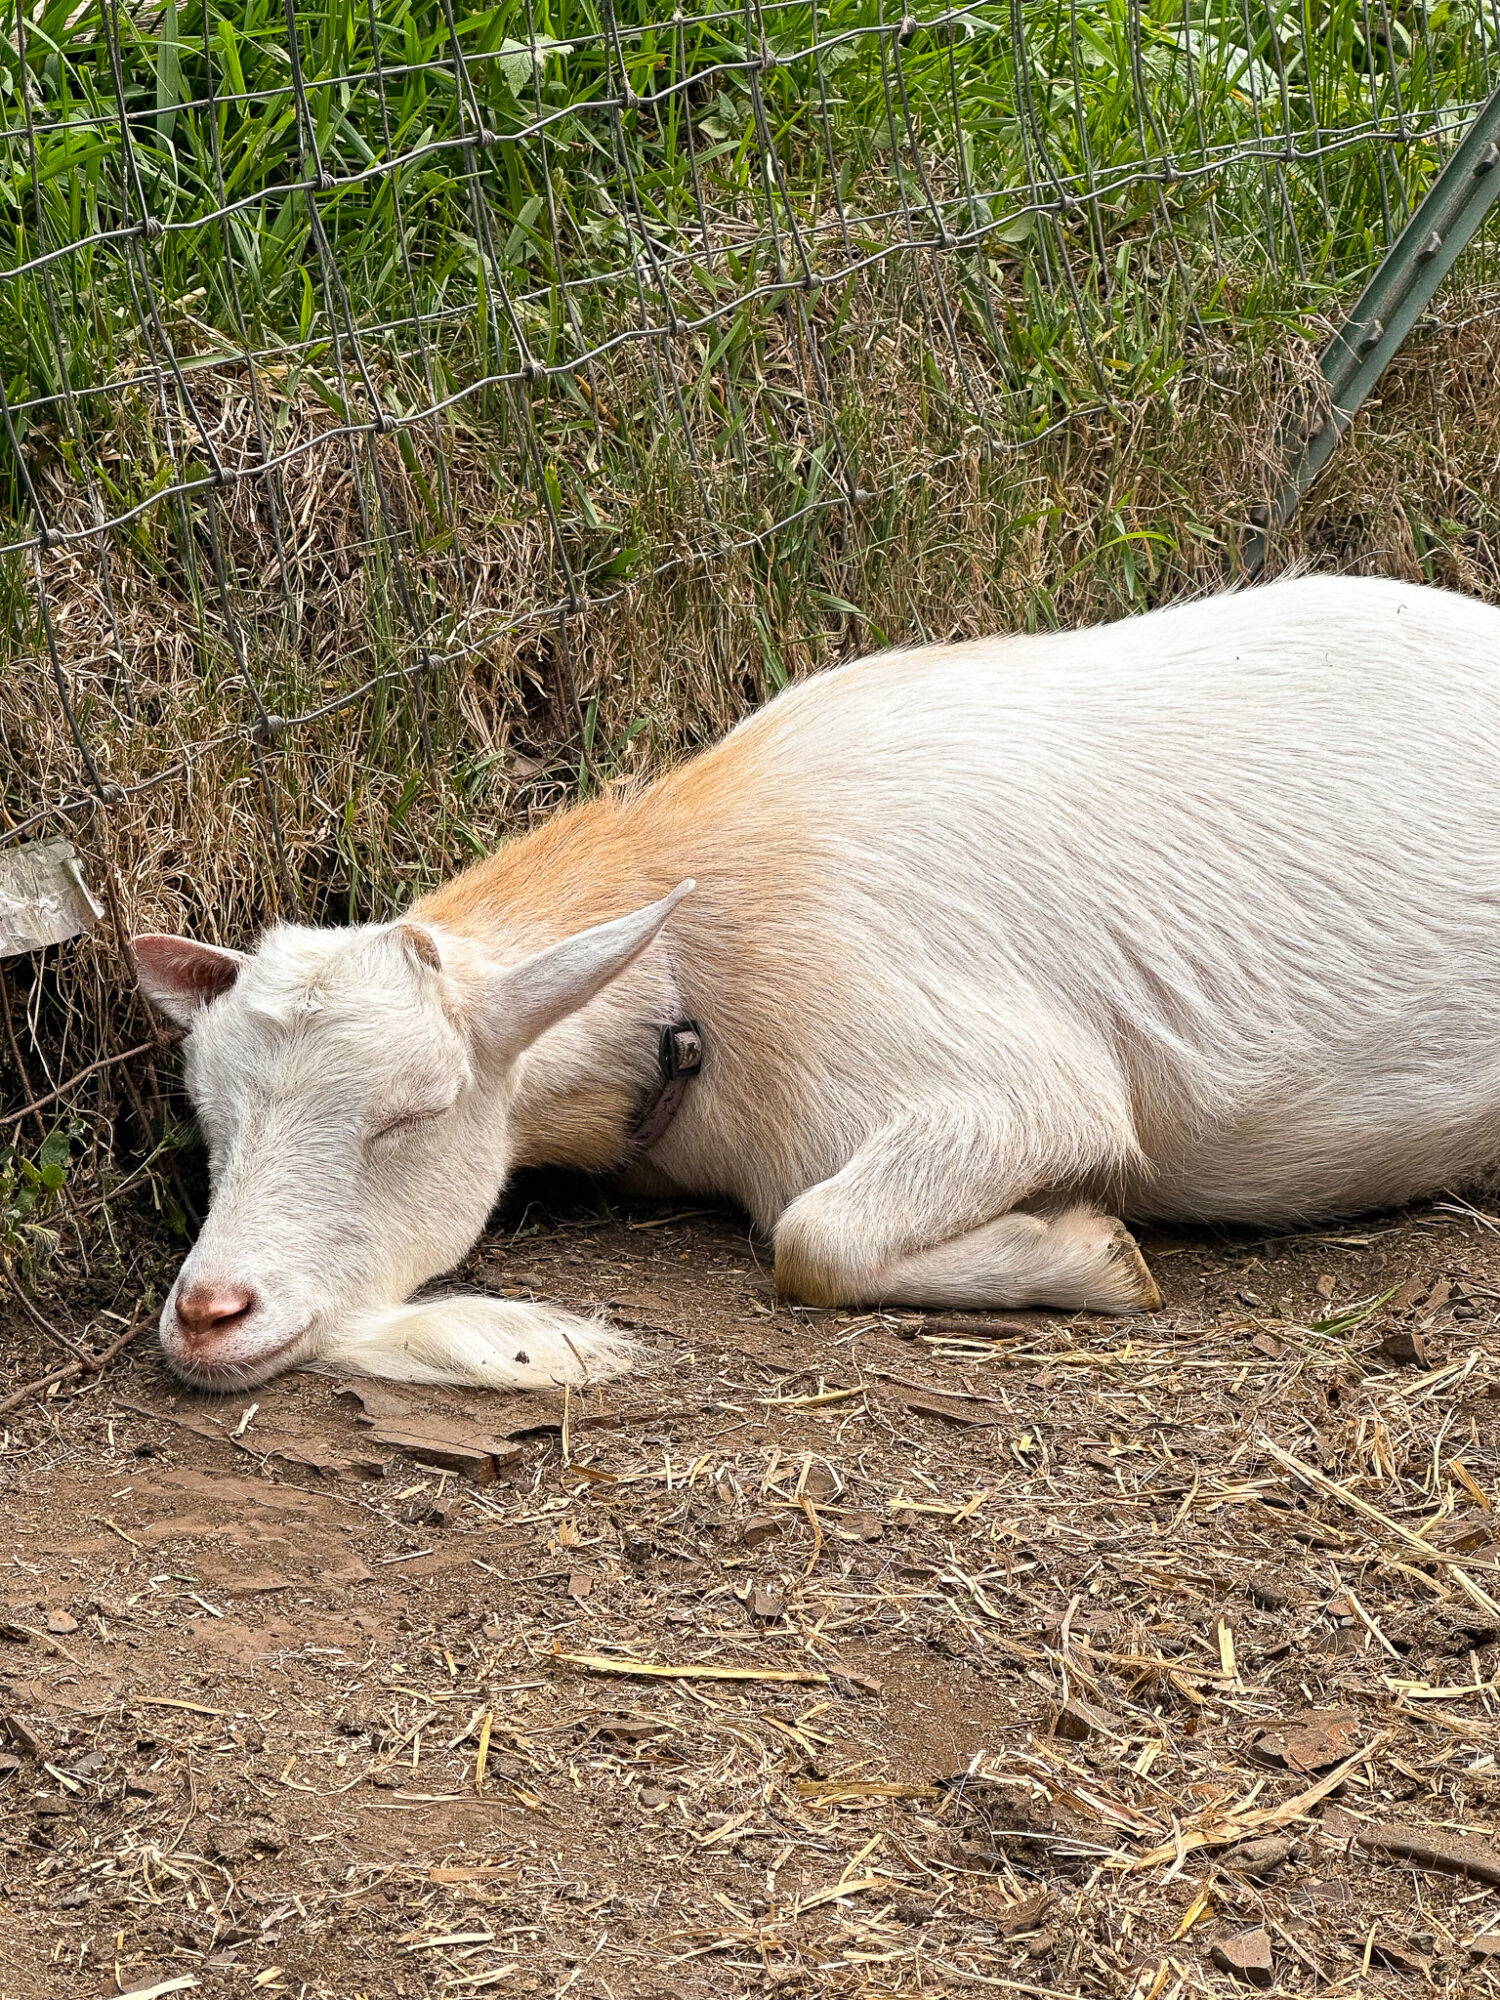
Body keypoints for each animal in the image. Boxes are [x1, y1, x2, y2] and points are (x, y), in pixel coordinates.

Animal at [134, 574, 1500, 1391]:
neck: (696, 948)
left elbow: (813, 1237)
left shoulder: (1013, 1087)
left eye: (410, 1114)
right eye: (209, 1114)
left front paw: (1095, 1253)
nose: (209, 1312)